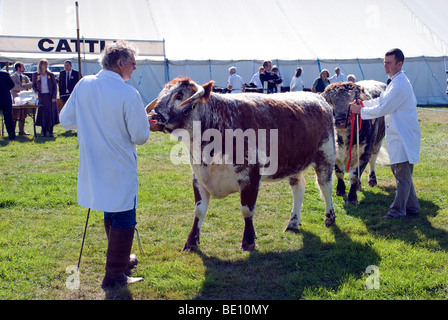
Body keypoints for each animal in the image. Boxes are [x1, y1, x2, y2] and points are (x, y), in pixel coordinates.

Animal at [147, 78, 336, 252]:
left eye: (179, 95)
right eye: (161, 94)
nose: (151, 118)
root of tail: (317, 97)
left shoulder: (250, 177)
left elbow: (247, 210)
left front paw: (248, 240)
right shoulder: (198, 177)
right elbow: (199, 211)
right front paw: (191, 242)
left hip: (325, 157)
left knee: (325, 187)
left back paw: (329, 217)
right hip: (295, 163)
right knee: (298, 188)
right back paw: (293, 222)